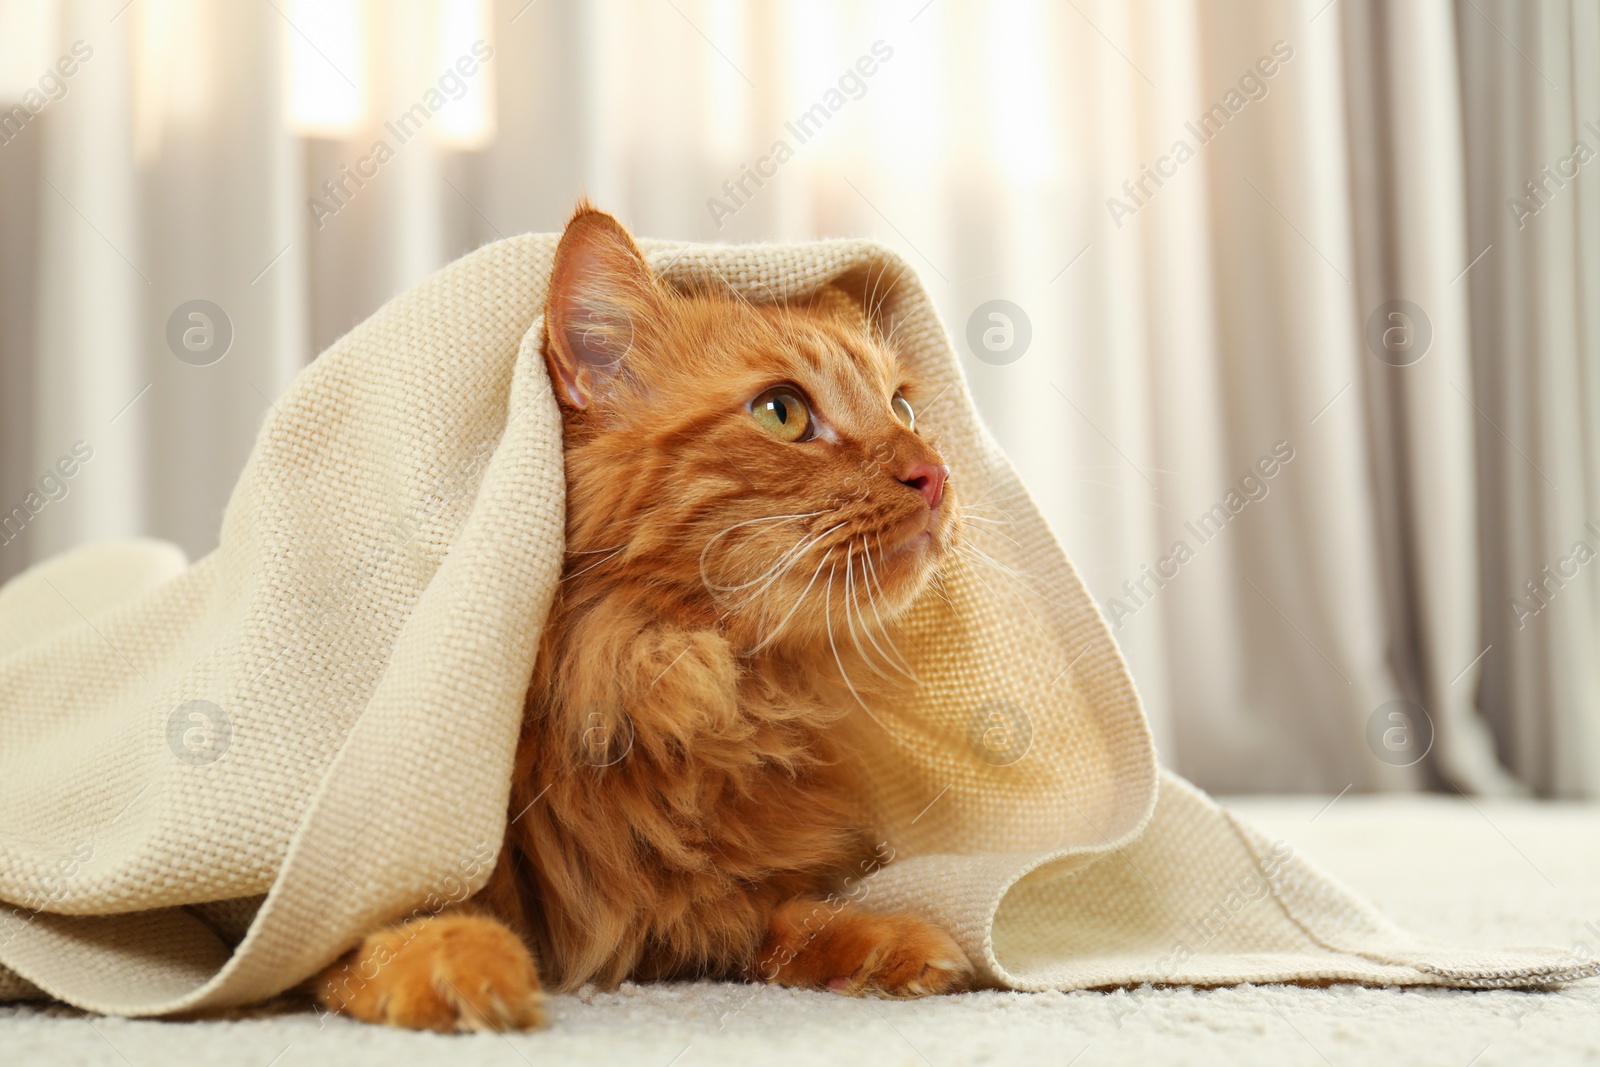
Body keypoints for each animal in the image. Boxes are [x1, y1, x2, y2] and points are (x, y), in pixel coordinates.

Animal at [310, 204, 960, 1030]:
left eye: (903, 407)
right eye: (782, 412)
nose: (936, 474)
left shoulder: (711, 900)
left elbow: (783, 913)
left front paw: (883, 942)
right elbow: (369, 935)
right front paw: (463, 964)